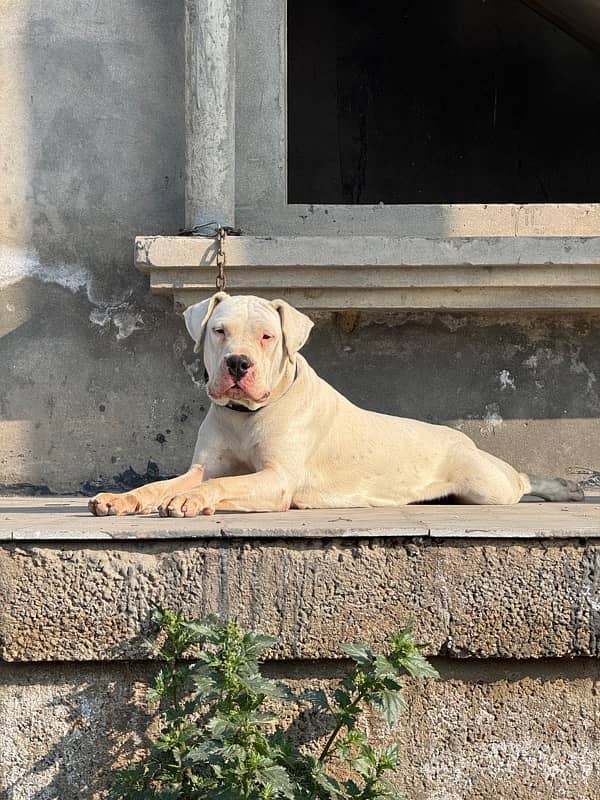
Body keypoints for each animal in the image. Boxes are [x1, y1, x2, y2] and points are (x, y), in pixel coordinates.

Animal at [88, 294, 580, 520]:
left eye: (267, 336)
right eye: (219, 331)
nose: (238, 363)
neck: (246, 415)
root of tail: (463, 438)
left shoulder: (276, 480)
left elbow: (217, 486)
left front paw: (188, 500)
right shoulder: (204, 465)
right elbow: (164, 484)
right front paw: (124, 499)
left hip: (485, 484)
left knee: (519, 480)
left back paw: (562, 488)